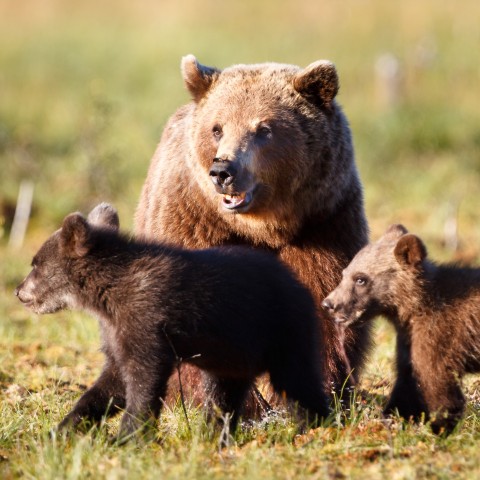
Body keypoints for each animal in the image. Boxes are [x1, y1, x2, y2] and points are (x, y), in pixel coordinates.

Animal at [15, 203, 330, 442]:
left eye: (35, 264)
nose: (19, 291)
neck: (107, 295)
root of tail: (301, 286)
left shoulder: (147, 318)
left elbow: (144, 377)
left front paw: (127, 437)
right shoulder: (116, 328)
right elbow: (111, 379)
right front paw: (62, 428)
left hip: (284, 329)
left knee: (297, 380)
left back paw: (314, 428)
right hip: (234, 353)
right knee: (224, 393)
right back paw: (214, 435)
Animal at [135, 53, 372, 412]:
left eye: (263, 129)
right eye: (217, 128)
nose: (223, 170)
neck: (264, 227)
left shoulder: (324, 223)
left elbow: (323, 305)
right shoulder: (191, 222)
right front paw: (238, 403)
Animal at [320, 225, 480, 436]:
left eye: (360, 279)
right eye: (344, 273)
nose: (328, 304)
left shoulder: (440, 336)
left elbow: (437, 382)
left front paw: (439, 427)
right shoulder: (408, 340)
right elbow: (407, 383)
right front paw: (392, 419)